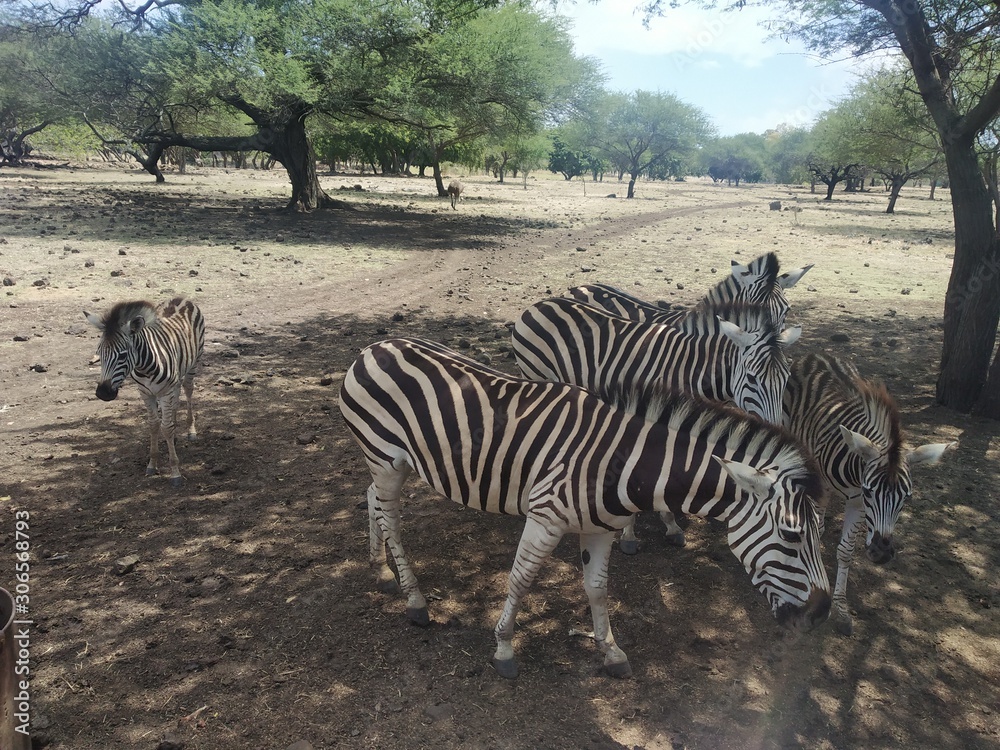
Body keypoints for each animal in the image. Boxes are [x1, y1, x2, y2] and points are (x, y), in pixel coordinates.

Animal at [84, 297, 206, 488]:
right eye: (99, 354)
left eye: (122, 355)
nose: (103, 393)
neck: (145, 366)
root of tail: (180, 298)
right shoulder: (145, 393)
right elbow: (154, 425)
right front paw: (152, 464)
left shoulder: (164, 392)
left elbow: (166, 427)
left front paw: (175, 472)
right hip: (175, 377)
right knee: (176, 398)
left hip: (194, 363)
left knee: (188, 390)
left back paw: (190, 430)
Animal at [339, 337, 830, 679]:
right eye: (791, 536)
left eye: (817, 534)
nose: (822, 614)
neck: (623, 464)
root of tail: (375, 347)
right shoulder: (544, 517)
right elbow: (520, 580)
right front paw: (504, 647)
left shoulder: (600, 528)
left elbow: (597, 587)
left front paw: (610, 651)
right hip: (385, 458)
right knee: (392, 519)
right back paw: (415, 600)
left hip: (392, 463)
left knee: (373, 501)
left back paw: (380, 570)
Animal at [512, 297, 800, 551]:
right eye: (751, 378)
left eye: (787, 376)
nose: (779, 430)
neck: (690, 371)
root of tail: (538, 304)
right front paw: (630, 534)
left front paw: (671, 525)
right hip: (536, 373)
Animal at [783, 353, 956, 635]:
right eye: (869, 491)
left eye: (907, 498)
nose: (881, 553)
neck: (856, 469)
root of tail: (819, 354)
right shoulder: (834, 487)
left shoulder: (857, 504)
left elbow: (845, 551)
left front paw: (841, 609)